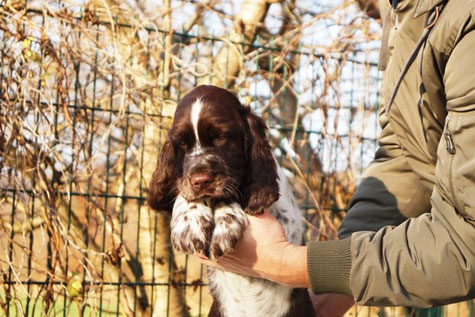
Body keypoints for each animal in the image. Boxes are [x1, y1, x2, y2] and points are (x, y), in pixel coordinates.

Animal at [147, 85, 314, 314]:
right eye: (182, 143)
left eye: (220, 137)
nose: (200, 181)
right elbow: (182, 191)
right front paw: (190, 225)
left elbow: (233, 193)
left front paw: (225, 228)